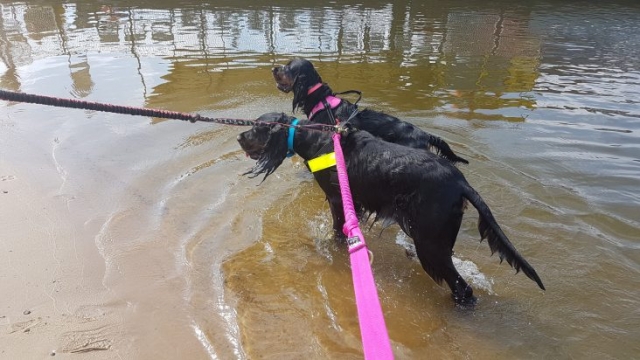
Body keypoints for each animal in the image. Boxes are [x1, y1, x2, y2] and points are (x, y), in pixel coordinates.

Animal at [236, 112, 544, 304]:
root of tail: (460, 183)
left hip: (430, 244)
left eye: (257, 127)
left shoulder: (338, 200)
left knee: (462, 288)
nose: (239, 137)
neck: (316, 139)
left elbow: (338, 232)